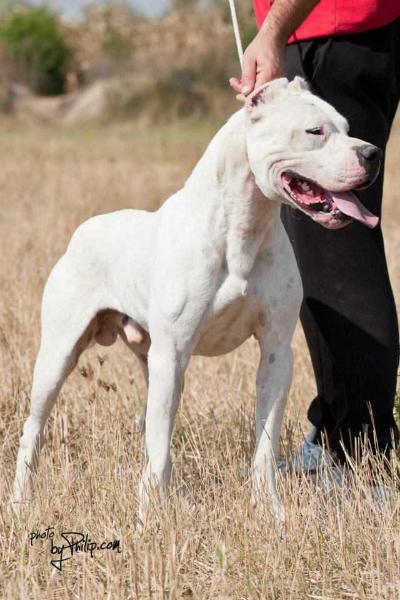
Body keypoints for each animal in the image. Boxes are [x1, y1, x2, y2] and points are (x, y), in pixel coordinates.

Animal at [13, 78, 382, 520]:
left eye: (347, 127)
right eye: (315, 132)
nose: (372, 154)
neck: (243, 226)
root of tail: (82, 231)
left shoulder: (276, 353)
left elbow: (264, 442)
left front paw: (269, 508)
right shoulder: (174, 351)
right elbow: (158, 443)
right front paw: (149, 519)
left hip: (152, 360)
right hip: (60, 356)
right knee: (35, 427)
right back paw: (19, 501)